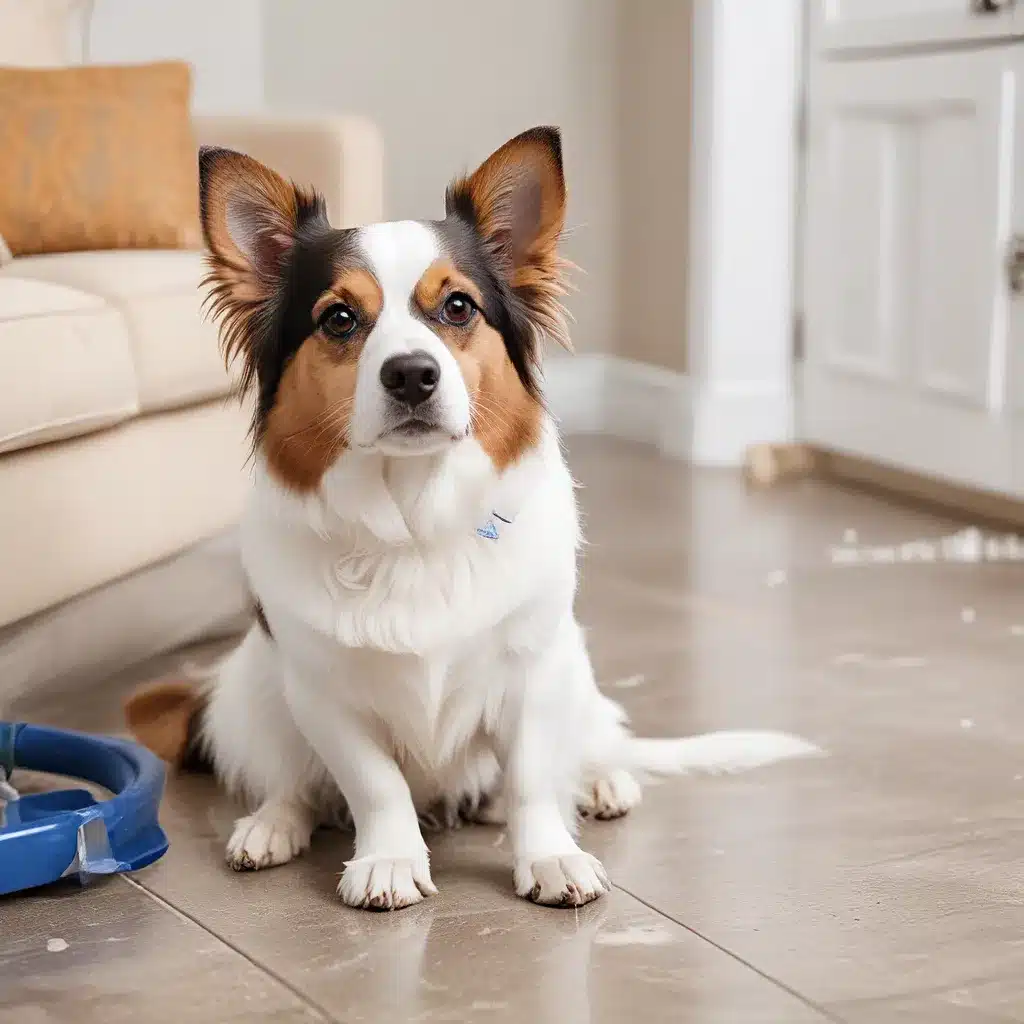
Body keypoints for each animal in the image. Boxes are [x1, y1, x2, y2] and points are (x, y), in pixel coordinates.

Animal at [125, 125, 815, 913]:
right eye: (339, 318)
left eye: (457, 307)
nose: (411, 374)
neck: (413, 519)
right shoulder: (324, 695)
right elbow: (374, 785)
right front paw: (389, 859)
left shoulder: (534, 673)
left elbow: (531, 781)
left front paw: (549, 856)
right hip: (254, 688)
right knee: (292, 782)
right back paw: (274, 824)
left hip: (574, 665)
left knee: (586, 748)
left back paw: (601, 782)